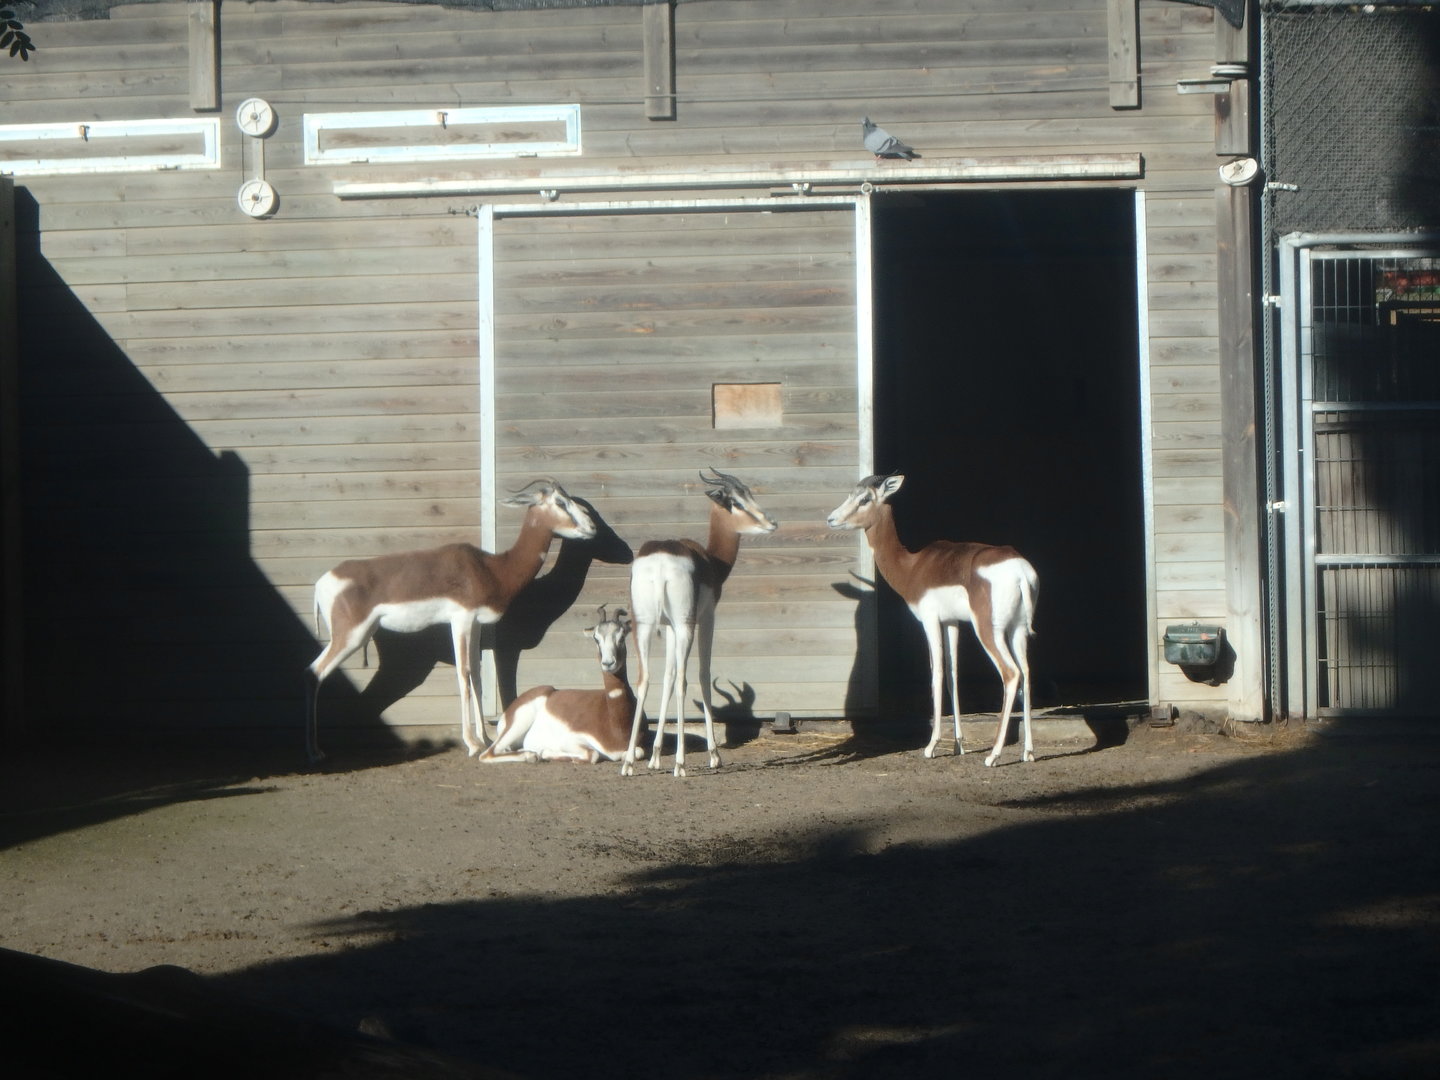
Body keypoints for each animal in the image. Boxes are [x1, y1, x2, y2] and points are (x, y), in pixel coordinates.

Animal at [306, 479, 596, 763]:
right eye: (561, 502)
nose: (592, 528)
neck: (492, 568)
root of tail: (321, 583)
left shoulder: (476, 624)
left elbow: (477, 676)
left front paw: (485, 739)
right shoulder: (461, 620)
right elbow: (464, 674)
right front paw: (472, 744)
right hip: (350, 637)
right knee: (315, 672)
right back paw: (315, 752)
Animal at [479, 606, 637, 764]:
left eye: (622, 637)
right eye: (596, 638)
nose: (608, 663)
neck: (615, 725)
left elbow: (636, 753)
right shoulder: (571, 741)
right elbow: (593, 754)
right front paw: (546, 753)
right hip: (518, 724)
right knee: (487, 754)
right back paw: (531, 755)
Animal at [622, 469, 778, 777]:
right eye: (736, 502)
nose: (771, 523)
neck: (711, 561)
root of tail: (660, 563)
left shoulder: (668, 626)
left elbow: (667, 677)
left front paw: (655, 756)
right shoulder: (706, 617)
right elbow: (703, 675)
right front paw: (714, 755)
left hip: (643, 624)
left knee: (645, 679)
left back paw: (629, 763)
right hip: (686, 625)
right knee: (685, 679)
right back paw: (681, 763)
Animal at [827, 474, 1038, 766]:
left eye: (865, 498)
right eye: (851, 494)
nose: (831, 518)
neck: (913, 566)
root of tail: (1020, 573)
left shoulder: (929, 621)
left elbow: (936, 673)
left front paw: (931, 746)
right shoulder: (952, 622)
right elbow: (952, 675)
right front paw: (958, 744)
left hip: (989, 630)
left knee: (1011, 673)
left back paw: (993, 755)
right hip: (1017, 630)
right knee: (1027, 673)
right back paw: (1028, 752)